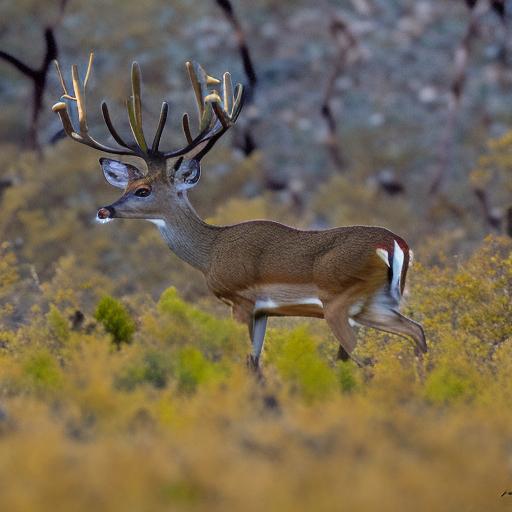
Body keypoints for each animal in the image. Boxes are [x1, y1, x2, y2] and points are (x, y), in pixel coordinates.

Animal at [53, 54, 428, 370]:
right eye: (125, 187)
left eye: (142, 190)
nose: (104, 210)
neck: (210, 252)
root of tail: (395, 243)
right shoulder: (263, 311)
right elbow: (255, 363)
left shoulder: (240, 299)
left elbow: (245, 361)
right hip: (376, 304)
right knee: (418, 332)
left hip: (340, 303)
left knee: (368, 358)